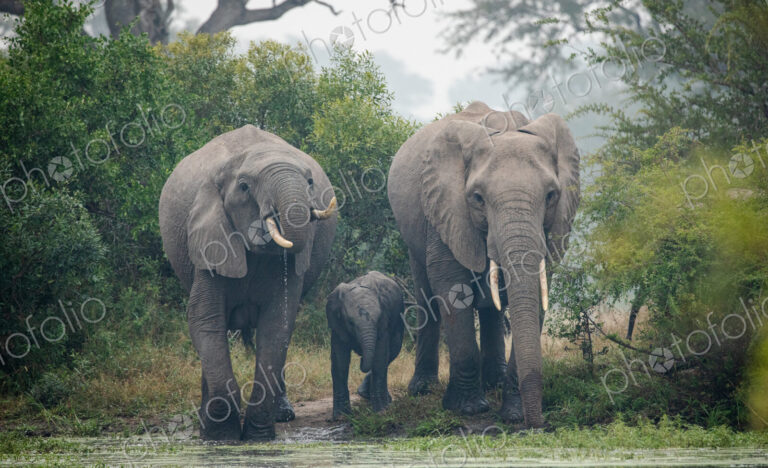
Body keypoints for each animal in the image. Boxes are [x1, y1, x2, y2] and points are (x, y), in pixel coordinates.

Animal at [158, 124, 337, 441]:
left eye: (310, 182)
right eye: (244, 187)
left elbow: (277, 325)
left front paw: (257, 436)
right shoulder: (209, 238)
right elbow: (205, 320)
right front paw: (220, 437)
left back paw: (284, 415)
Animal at [325, 271, 405, 419]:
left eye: (378, 319)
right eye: (350, 322)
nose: (361, 357)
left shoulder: (383, 323)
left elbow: (379, 359)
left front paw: (381, 412)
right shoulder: (337, 324)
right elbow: (340, 362)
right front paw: (340, 416)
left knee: (391, 354)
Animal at [387, 101, 579, 428]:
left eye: (551, 195)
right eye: (477, 198)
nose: (538, 425)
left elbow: (538, 289)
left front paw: (512, 412)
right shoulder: (446, 208)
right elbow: (452, 286)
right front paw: (468, 408)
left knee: (492, 306)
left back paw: (494, 382)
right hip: (413, 228)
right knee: (427, 295)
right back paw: (423, 389)